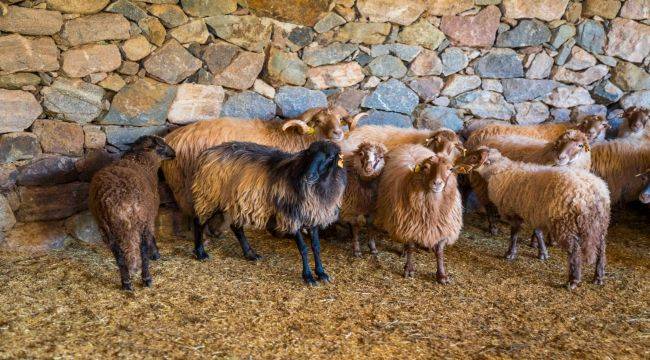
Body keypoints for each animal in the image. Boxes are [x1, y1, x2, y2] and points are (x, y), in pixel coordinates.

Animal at [88, 135, 176, 290]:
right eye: (162, 146)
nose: (175, 153)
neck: (142, 161)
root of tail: (115, 201)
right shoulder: (150, 216)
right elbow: (151, 238)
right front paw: (156, 253)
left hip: (105, 227)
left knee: (119, 255)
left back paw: (126, 282)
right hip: (140, 221)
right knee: (142, 250)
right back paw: (146, 278)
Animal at [190, 141, 346, 284]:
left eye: (330, 157)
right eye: (309, 153)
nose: (309, 176)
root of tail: (206, 153)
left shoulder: (313, 215)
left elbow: (316, 247)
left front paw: (321, 273)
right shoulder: (291, 216)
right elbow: (303, 248)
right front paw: (308, 277)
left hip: (235, 201)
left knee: (236, 227)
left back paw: (250, 254)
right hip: (210, 195)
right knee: (198, 221)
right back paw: (200, 253)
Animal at [374, 144, 460, 284]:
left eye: (450, 169)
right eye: (426, 168)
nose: (437, 183)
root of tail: (411, 145)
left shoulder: (443, 229)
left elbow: (440, 252)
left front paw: (442, 275)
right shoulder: (409, 224)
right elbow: (411, 247)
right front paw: (409, 269)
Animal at [456, 147, 608, 290]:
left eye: (474, 157)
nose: (456, 165)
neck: (501, 172)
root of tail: (593, 191)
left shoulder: (515, 212)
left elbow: (514, 235)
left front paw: (510, 254)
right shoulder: (534, 214)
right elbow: (538, 232)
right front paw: (543, 253)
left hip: (566, 223)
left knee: (574, 250)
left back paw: (573, 280)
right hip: (599, 224)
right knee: (601, 248)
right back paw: (598, 277)